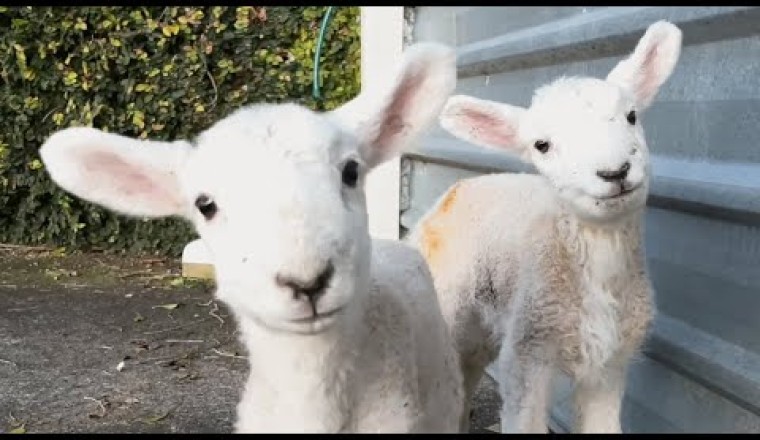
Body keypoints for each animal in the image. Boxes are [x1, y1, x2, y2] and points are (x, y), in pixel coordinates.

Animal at [407, 21, 683, 433]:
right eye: (542, 145)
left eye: (632, 116)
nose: (615, 172)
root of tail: (454, 191)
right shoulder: (527, 354)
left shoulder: (610, 363)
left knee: (464, 377)